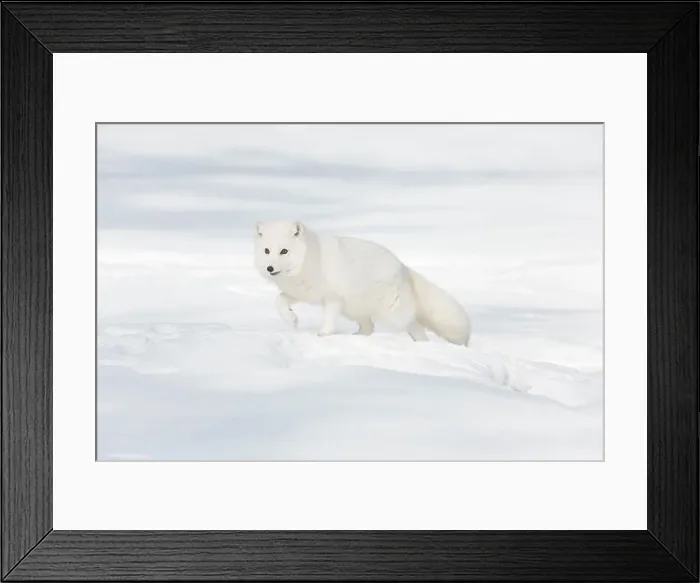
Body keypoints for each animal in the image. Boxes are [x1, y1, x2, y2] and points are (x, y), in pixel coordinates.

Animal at [253, 220, 471, 345]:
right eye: (266, 251)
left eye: (284, 251)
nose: (270, 268)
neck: (310, 259)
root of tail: (402, 266)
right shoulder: (302, 293)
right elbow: (279, 301)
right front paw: (291, 319)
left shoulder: (333, 298)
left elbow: (329, 318)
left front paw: (324, 334)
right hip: (355, 310)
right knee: (369, 327)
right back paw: (355, 337)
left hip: (394, 315)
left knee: (416, 328)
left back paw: (422, 345)